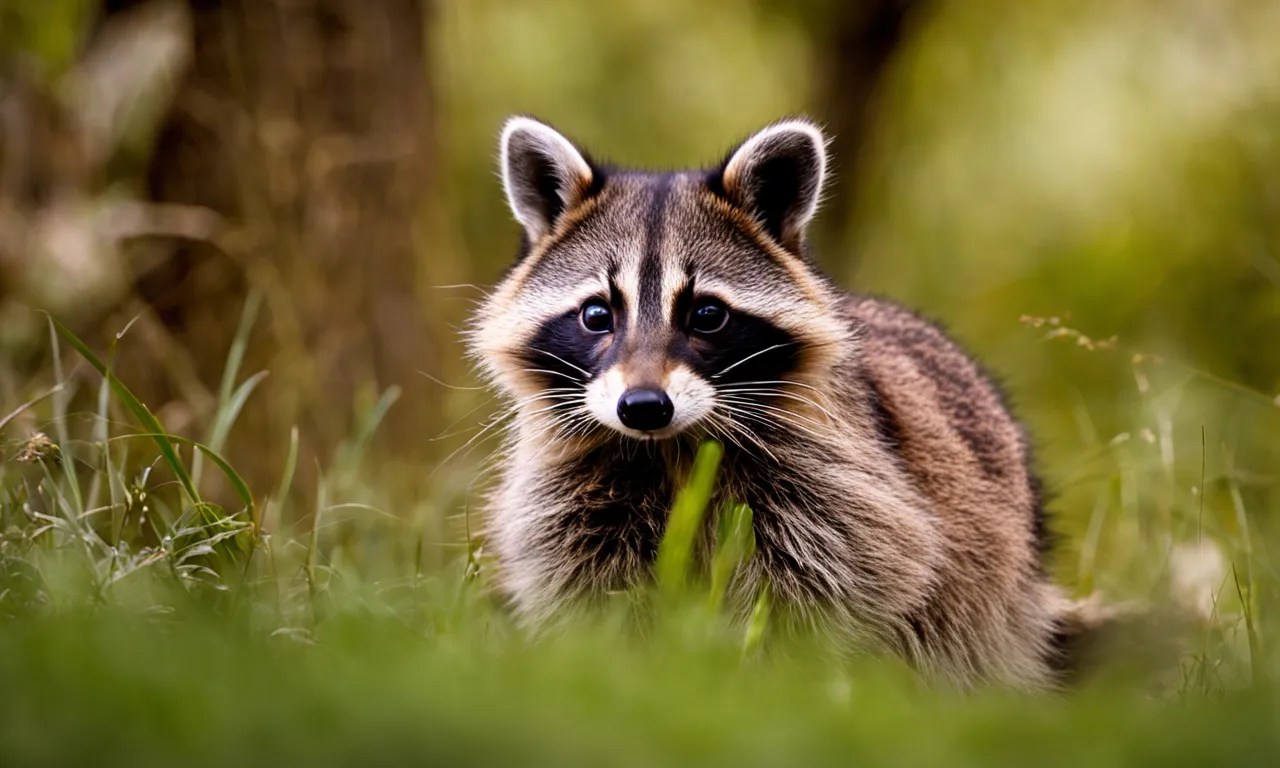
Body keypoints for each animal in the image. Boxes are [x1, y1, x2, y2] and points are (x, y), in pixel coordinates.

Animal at [468, 116, 1084, 688]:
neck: (670, 447)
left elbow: (826, 582)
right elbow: (588, 583)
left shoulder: (840, 489)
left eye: (707, 314)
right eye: (597, 314)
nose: (643, 406)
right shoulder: (573, 492)